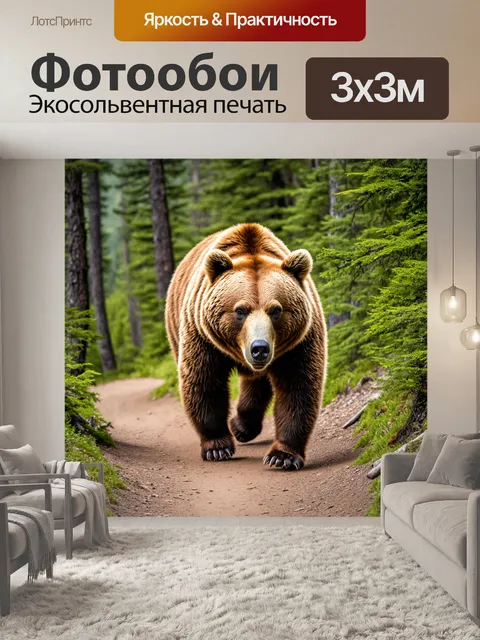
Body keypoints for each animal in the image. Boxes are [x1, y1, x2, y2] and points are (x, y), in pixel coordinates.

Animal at [165, 223, 327, 470]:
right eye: (240, 310)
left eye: (276, 309)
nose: (259, 348)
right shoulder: (203, 337)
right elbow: (204, 381)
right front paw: (217, 447)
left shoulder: (298, 343)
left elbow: (298, 386)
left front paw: (282, 456)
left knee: (257, 383)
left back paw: (242, 426)